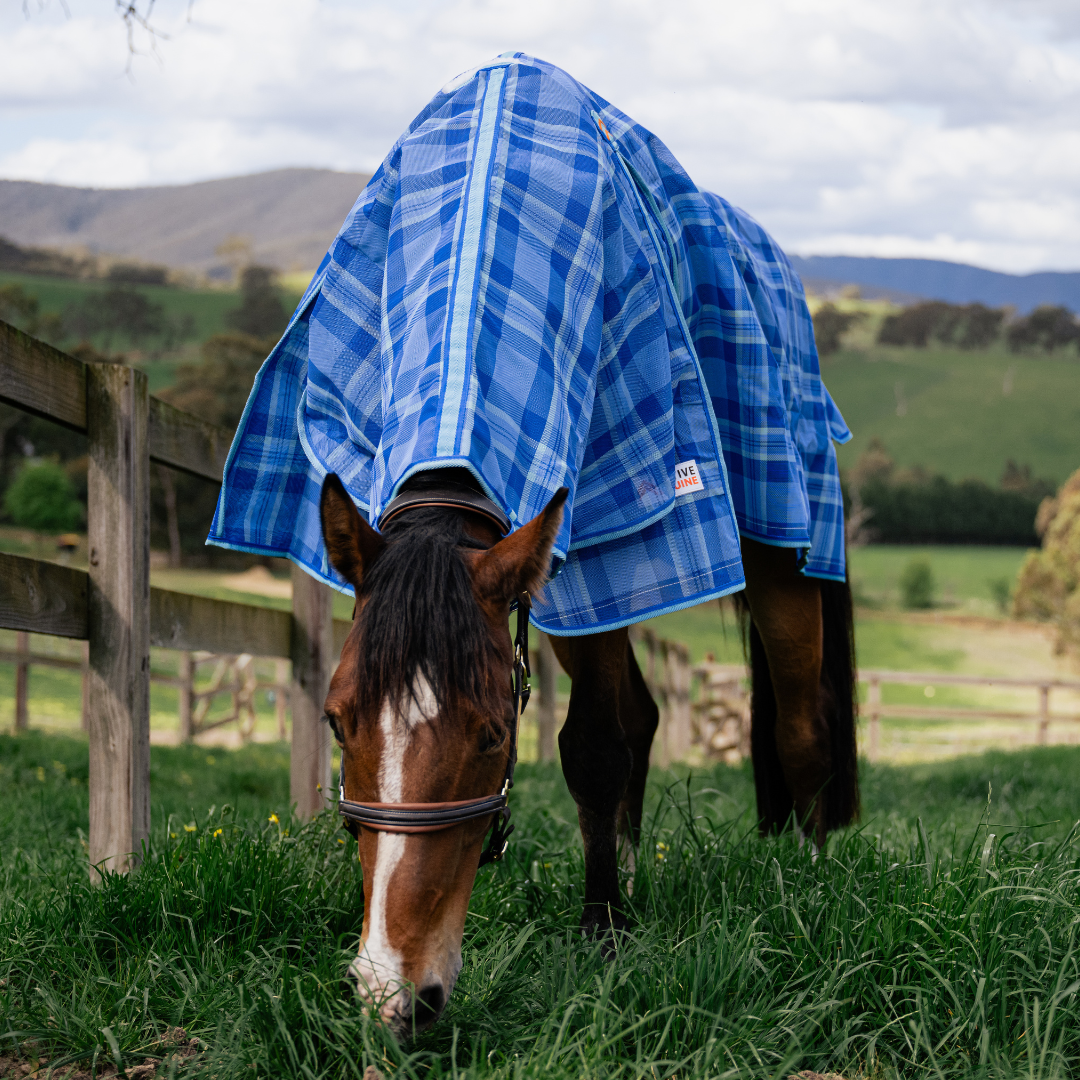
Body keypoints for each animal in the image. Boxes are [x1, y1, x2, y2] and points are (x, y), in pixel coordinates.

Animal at [209, 54, 859, 1036]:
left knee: (800, 726)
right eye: (336, 720)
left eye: (488, 735)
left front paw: (603, 932)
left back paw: (807, 883)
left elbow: (592, 745)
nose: (396, 993)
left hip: (779, 549)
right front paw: (614, 903)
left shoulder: (601, 550)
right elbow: (616, 736)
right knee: (651, 718)